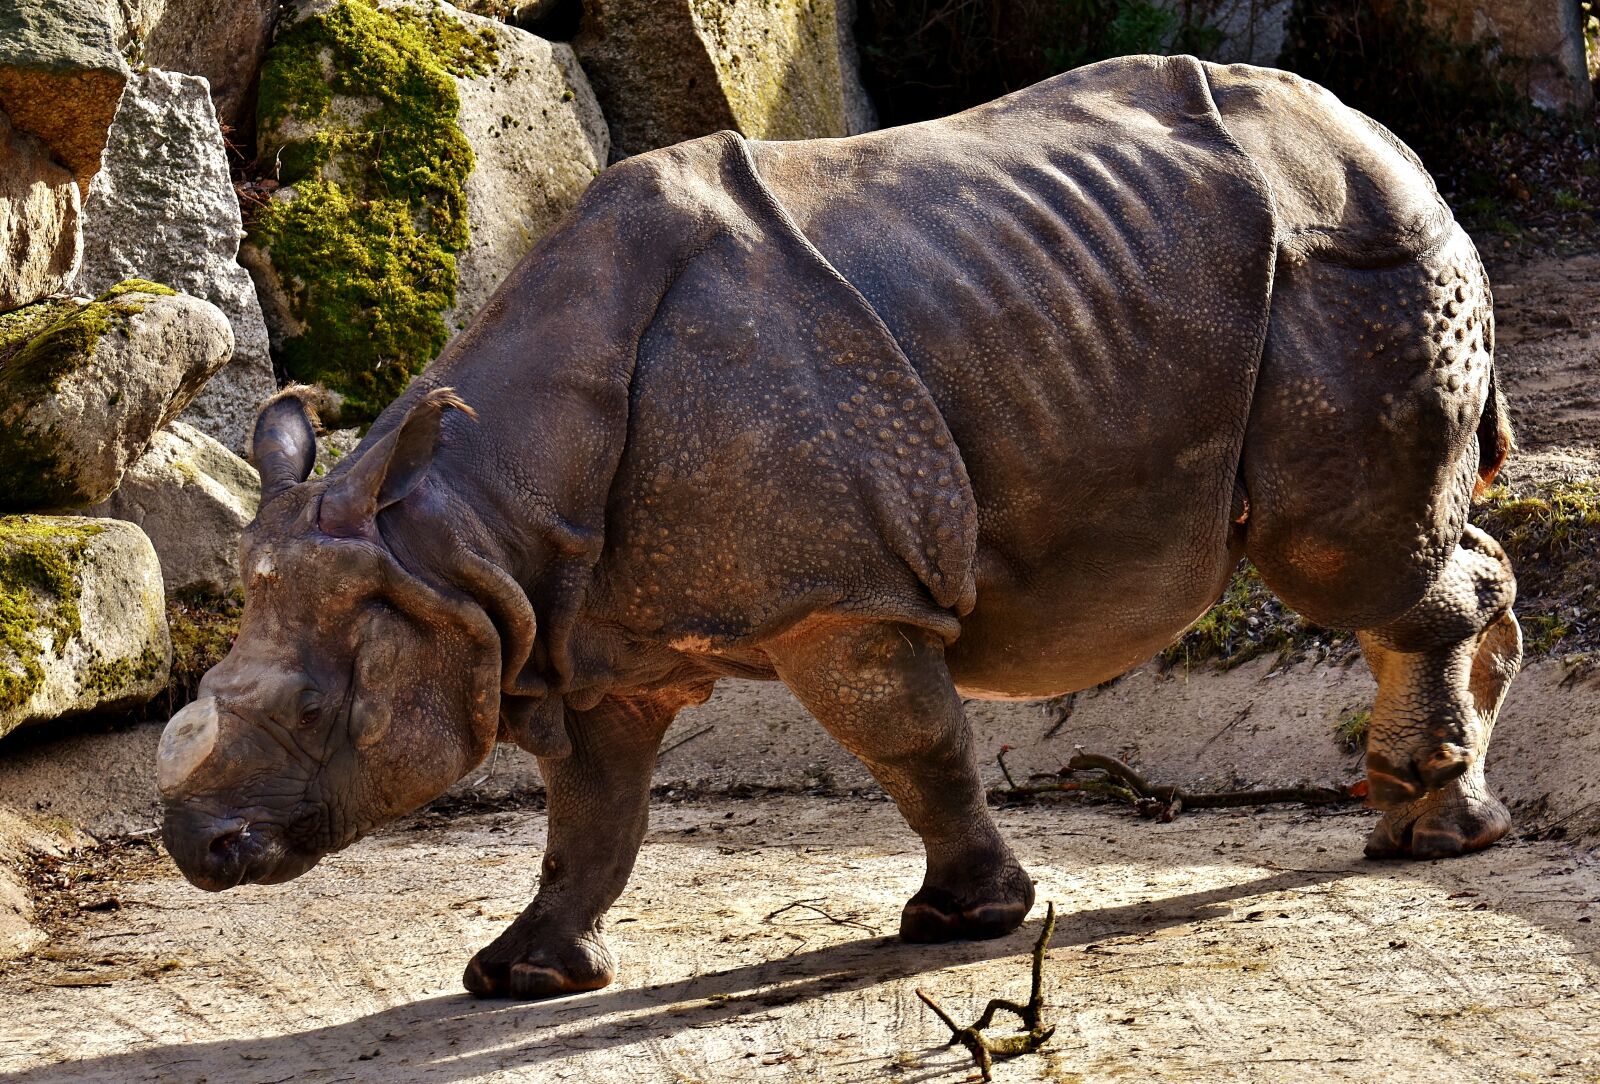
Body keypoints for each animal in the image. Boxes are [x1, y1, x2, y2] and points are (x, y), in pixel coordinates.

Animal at [158, 55, 1522, 999]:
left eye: (318, 711)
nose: (194, 849)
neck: (460, 534)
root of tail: (1380, 138)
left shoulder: (838, 599)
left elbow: (913, 744)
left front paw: (965, 921)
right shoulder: (584, 627)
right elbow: (590, 811)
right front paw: (522, 975)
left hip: (1351, 263)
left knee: (1350, 564)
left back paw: (1424, 827)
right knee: (1425, 554)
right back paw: (1441, 813)